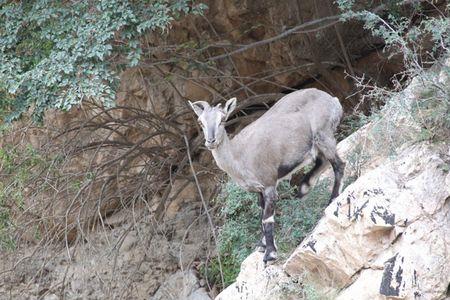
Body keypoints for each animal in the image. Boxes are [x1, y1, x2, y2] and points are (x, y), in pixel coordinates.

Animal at [189, 88, 344, 264]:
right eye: (201, 122)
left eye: (222, 119)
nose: (211, 141)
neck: (239, 155)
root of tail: (332, 100)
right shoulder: (258, 190)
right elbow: (261, 216)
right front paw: (262, 244)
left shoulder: (269, 183)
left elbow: (267, 219)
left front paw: (270, 254)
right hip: (316, 144)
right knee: (322, 162)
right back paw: (304, 187)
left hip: (323, 135)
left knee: (338, 165)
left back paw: (333, 198)